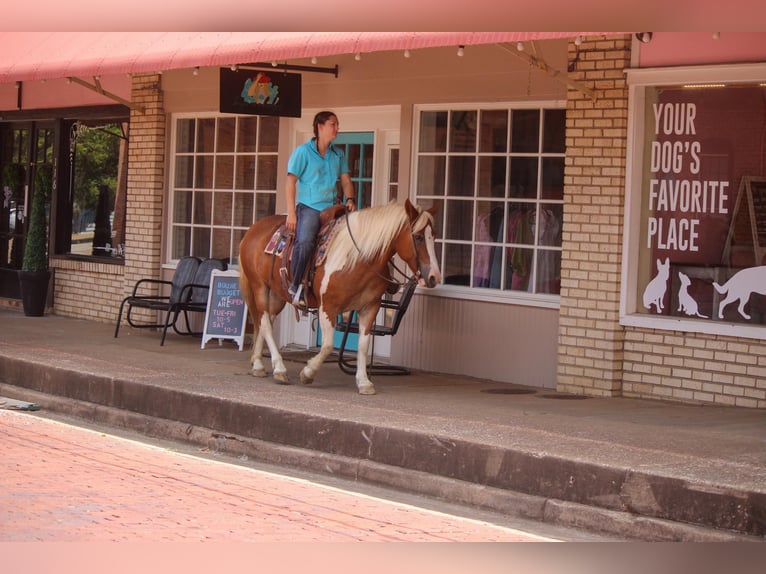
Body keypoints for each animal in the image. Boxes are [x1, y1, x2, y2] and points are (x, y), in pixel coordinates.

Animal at [240, 199, 444, 396]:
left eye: (433, 236)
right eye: (418, 237)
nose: (435, 277)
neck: (358, 259)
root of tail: (254, 229)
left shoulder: (370, 307)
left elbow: (363, 345)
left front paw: (364, 382)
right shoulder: (327, 307)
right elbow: (328, 345)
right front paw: (308, 372)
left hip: (276, 294)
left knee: (265, 321)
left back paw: (258, 364)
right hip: (259, 286)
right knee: (265, 323)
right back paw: (279, 369)